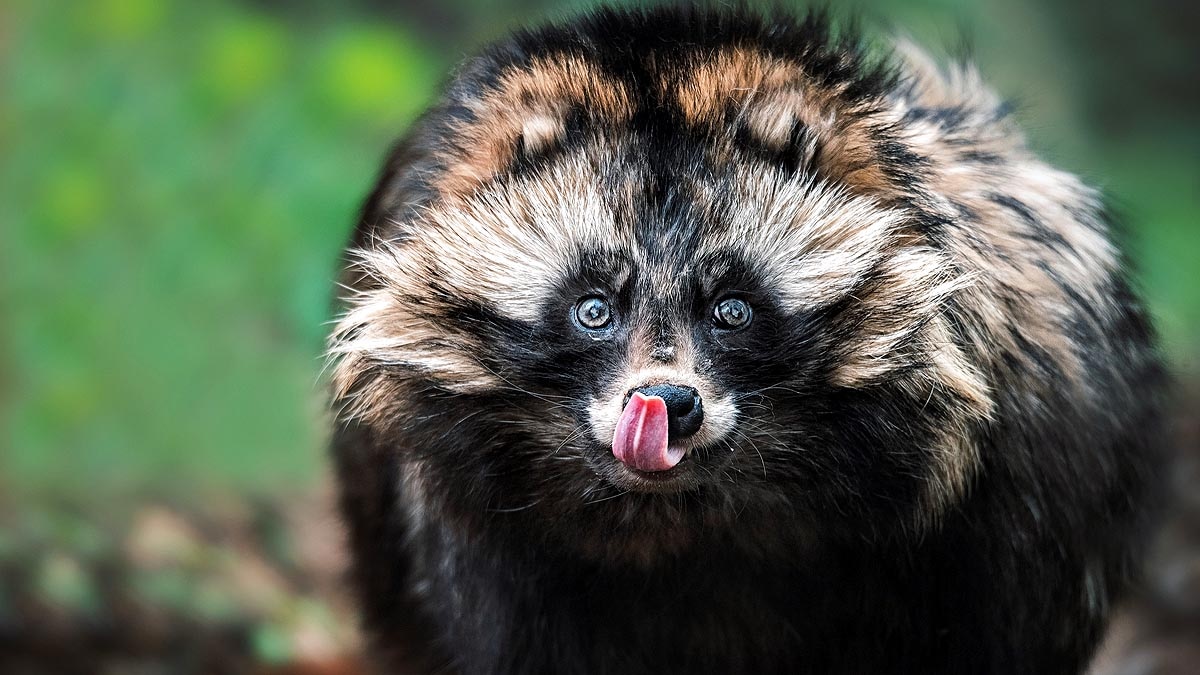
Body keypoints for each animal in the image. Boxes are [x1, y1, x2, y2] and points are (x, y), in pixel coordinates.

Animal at [328, 7, 1165, 674]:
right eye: (593, 309)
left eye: (732, 309)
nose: (667, 402)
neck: (682, 516)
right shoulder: (483, 551)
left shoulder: (997, 522)